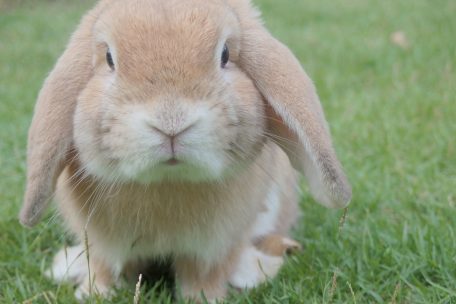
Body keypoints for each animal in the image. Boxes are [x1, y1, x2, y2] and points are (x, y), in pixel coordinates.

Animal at [19, 0, 350, 300]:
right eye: (110, 59)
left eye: (225, 54)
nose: (171, 122)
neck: (167, 182)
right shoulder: (101, 243)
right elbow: (105, 267)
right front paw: (93, 294)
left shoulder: (213, 247)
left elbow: (203, 276)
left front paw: (204, 298)